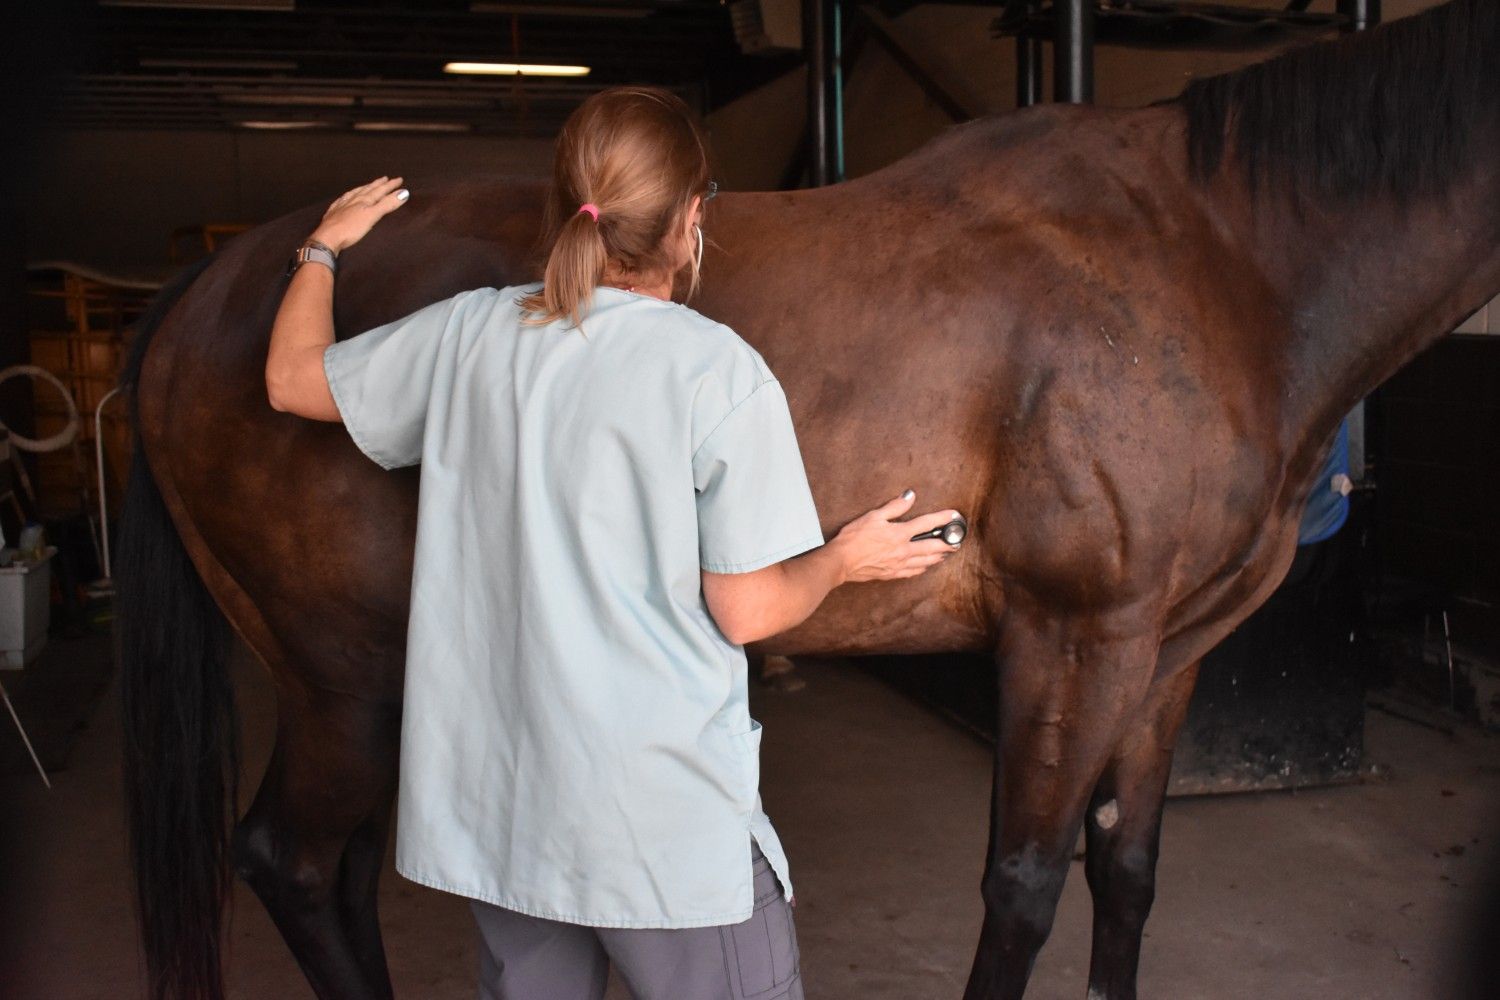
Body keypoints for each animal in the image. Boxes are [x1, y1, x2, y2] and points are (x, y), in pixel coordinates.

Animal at [120, 3, 1500, 995]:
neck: (1209, 256)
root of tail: (212, 293)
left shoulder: (1167, 658)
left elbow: (1128, 872)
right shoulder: (1076, 639)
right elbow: (1024, 887)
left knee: (347, 873)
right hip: (342, 680)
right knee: (296, 865)